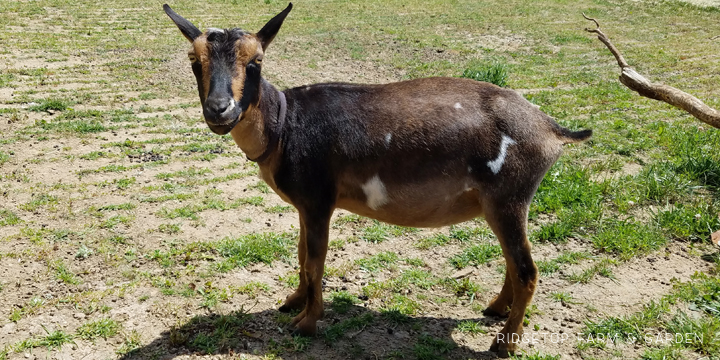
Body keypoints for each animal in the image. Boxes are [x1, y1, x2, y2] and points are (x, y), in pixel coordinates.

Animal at [166, 3, 592, 358]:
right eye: (194, 60)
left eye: (255, 61)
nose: (219, 110)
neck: (284, 125)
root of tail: (551, 129)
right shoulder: (307, 204)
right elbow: (302, 255)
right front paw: (293, 301)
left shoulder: (320, 200)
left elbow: (316, 260)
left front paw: (306, 323)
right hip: (501, 205)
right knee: (513, 263)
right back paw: (495, 309)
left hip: (510, 197)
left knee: (527, 270)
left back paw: (504, 344)